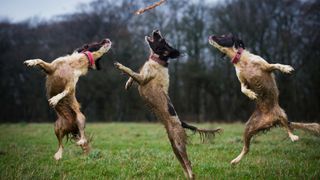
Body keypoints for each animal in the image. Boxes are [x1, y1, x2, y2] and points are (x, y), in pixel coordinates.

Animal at [114, 29, 221, 179]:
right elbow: (132, 75)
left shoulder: (143, 78)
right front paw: (128, 84)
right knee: (183, 164)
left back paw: (191, 175)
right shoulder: (141, 75)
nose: (156, 30)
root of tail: (181, 122)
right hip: (173, 147)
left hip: (179, 143)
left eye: (162, 40)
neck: (158, 60)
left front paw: (120, 66)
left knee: (188, 163)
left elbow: (131, 71)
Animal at [209, 33, 320, 165]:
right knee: (246, 148)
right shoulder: (242, 80)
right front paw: (251, 94)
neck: (242, 61)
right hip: (248, 128)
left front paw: (286, 69)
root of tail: (271, 121)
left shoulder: (266, 66)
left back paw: (293, 137)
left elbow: (276, 64)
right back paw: (235, 160)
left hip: (282, 114)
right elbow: (242, 89)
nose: (211, 36)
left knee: (288, 128)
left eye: (223, 36)